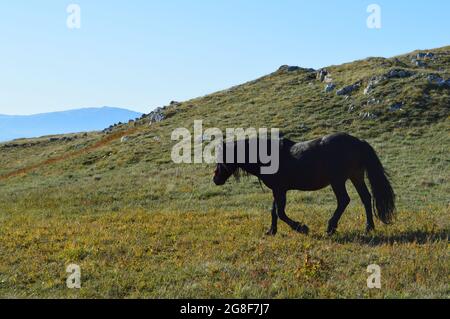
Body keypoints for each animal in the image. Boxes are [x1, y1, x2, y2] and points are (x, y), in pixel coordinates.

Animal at [213, 132, 396, 235]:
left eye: (221, 159)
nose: (215, 179)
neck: (268, 157)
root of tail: (358, 142)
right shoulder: (277, 190)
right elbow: (274, 211)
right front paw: (271, 231)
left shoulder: (280, 190)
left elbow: (281, 213)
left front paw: (301, 227)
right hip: (355, 176)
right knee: (366, 198)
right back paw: (369, 228)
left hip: (337, 181)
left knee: (344, 200)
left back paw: (330, 228)